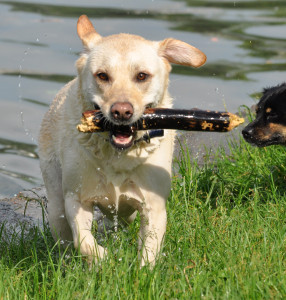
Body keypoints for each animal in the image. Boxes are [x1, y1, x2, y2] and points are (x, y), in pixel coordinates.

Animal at [38, 15, 206, 266]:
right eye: (102, 75)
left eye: (142, 76)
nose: (121, 111)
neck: (118, 154)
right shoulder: (76, 198)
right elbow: (83, 241)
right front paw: (103, 259)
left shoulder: (154, 206)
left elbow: (149, 250)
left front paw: (143, 272)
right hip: (55, 195)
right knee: (64, 234)